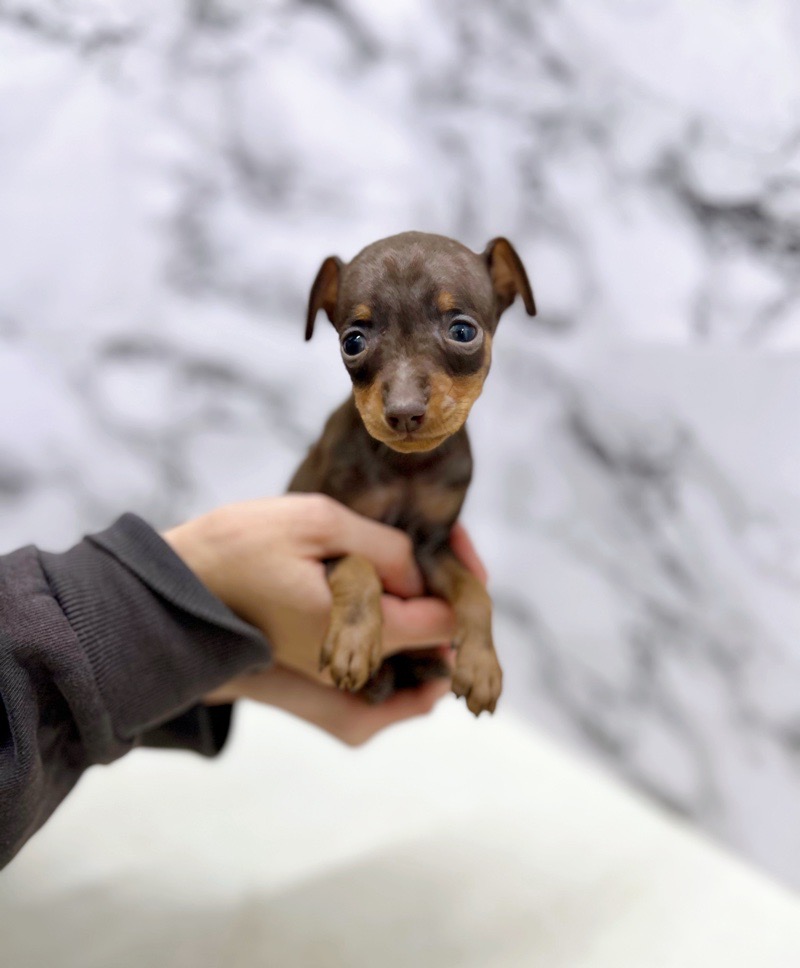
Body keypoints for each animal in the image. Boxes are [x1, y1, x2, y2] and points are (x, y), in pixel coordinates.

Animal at [290, 231, 536, 716]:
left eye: (463, 332)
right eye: (352, 342)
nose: (404, 412)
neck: (406, 467)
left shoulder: (431, 547)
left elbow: (475, 592)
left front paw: (481, 665)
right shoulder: (331, 523)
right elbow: (358, 565)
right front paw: (353, 642)